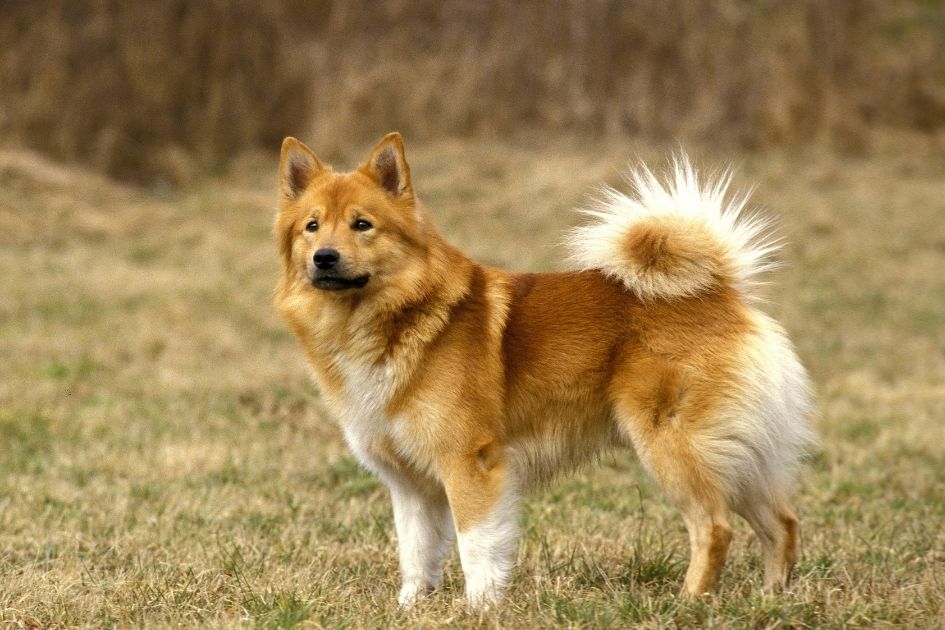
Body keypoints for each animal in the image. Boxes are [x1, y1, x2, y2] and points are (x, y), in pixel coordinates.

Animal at [272, 132, 812, 608]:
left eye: (362, 225)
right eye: (312, 227)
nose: (324, 258)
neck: (394, 319)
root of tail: (718, 292)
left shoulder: (470, 464)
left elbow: (475, 547)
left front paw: (480, 608)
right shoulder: (409, 484)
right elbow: (416, 554)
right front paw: (410, 607)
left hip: (674, 446)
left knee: (715, 528)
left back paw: (689, 602)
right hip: (737, 454)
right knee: (781, 523)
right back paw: (772, 598)